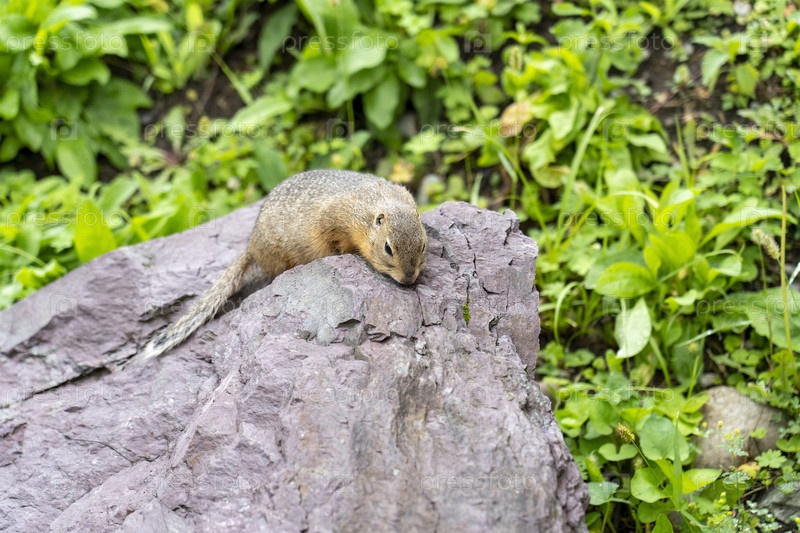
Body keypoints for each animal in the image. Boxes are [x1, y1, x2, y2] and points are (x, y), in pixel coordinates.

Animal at [125, 170, 428, 368]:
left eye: (424, 245)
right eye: (388, 248)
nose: (408, 280)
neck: (373, 207)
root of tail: (252, 245)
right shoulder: (331, 224)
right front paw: (345, 253)